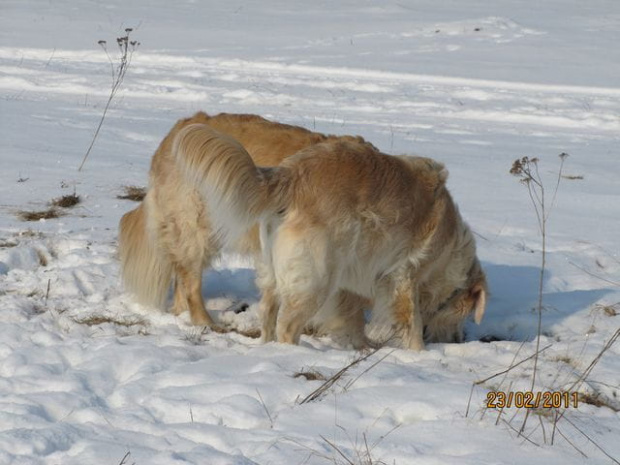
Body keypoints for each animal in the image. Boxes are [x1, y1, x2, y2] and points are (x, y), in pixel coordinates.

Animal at [172, 123, 486, 348]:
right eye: (463, 315)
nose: (459, 339)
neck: (451, 247)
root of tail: (290, 175)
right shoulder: (404, 277)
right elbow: (411, 323)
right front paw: (417, 355)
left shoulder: (354, 277)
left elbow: (353, 318)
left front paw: (362, 346)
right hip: (316, 278)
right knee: (287, 326)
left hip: (277, 272)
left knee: (269, 315)